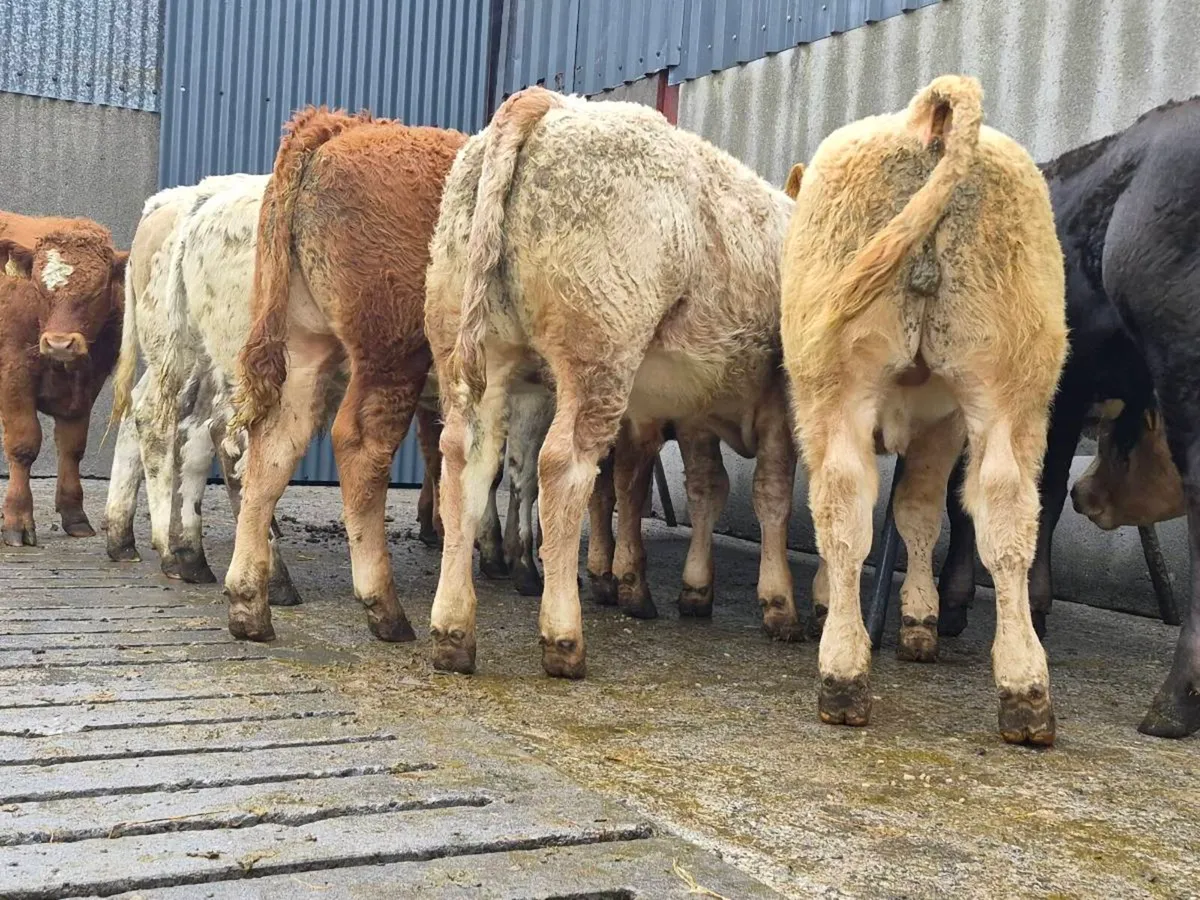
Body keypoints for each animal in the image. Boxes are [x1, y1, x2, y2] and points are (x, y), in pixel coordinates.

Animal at [0, 215, 127, 546]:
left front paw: (75, 516)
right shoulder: (13, 375)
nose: (59, 343)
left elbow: (72, 447)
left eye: (97, 291)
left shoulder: (88, 384)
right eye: (38, 289)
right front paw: (17, 520)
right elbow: (24, 445)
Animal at [425, 87, 798, 679]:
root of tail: (549, 103)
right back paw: (563, 636)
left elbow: (706, 487)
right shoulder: (781, 399)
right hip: (602, 350)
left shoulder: (693, 408)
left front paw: (695, 590)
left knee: (466, 460)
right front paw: (780, 604)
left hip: (475, 352)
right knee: (562, 467)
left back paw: (453, 632)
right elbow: (772, 492)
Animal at [780, 75, 1067, 746]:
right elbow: (918, 514)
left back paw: (843, 674)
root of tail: (925, 121)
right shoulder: (946, 422)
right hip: (1007, 391)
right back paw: (1025, 689)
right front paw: (919, 618)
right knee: (1007, 514)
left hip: (834, 388)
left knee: (842, 507)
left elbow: (896, 518)